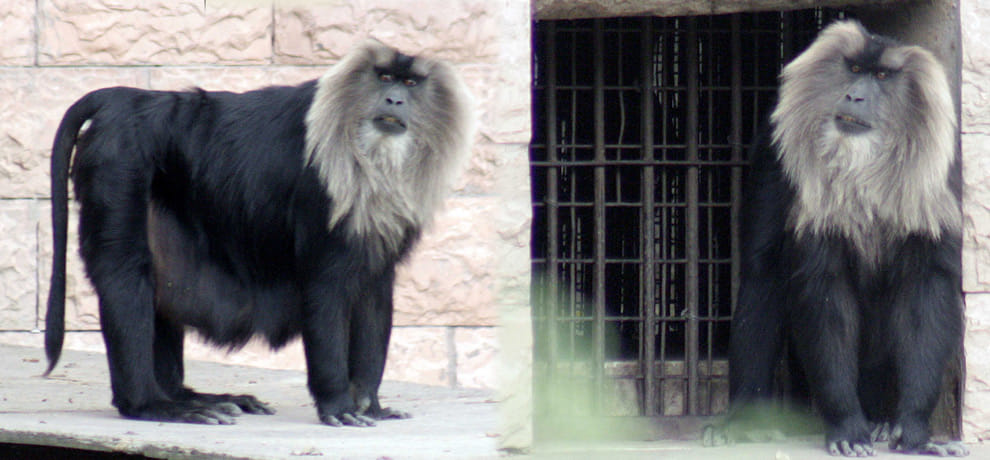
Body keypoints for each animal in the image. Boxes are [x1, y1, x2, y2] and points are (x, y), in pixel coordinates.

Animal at [44, 39, 473, 427]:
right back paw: (151, 404)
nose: (395, 100)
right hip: (118, 159)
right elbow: (325, 289)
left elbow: (374, 294)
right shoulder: (320, 203)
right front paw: (338, 405)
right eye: (384, 77)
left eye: (411, 83)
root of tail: (126, 98)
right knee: (125, 275)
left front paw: (372, 406)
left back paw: (188, 396)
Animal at [702, 20, 968, 457]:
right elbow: (823, 293)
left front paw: (915, 432)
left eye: (882, 76)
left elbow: (925, 289)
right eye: (854, 69)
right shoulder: (776, 158)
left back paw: (881, 421)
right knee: (763, 278)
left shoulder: (941, 176)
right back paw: (745, 421)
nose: (855, 96)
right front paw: (846, 427)